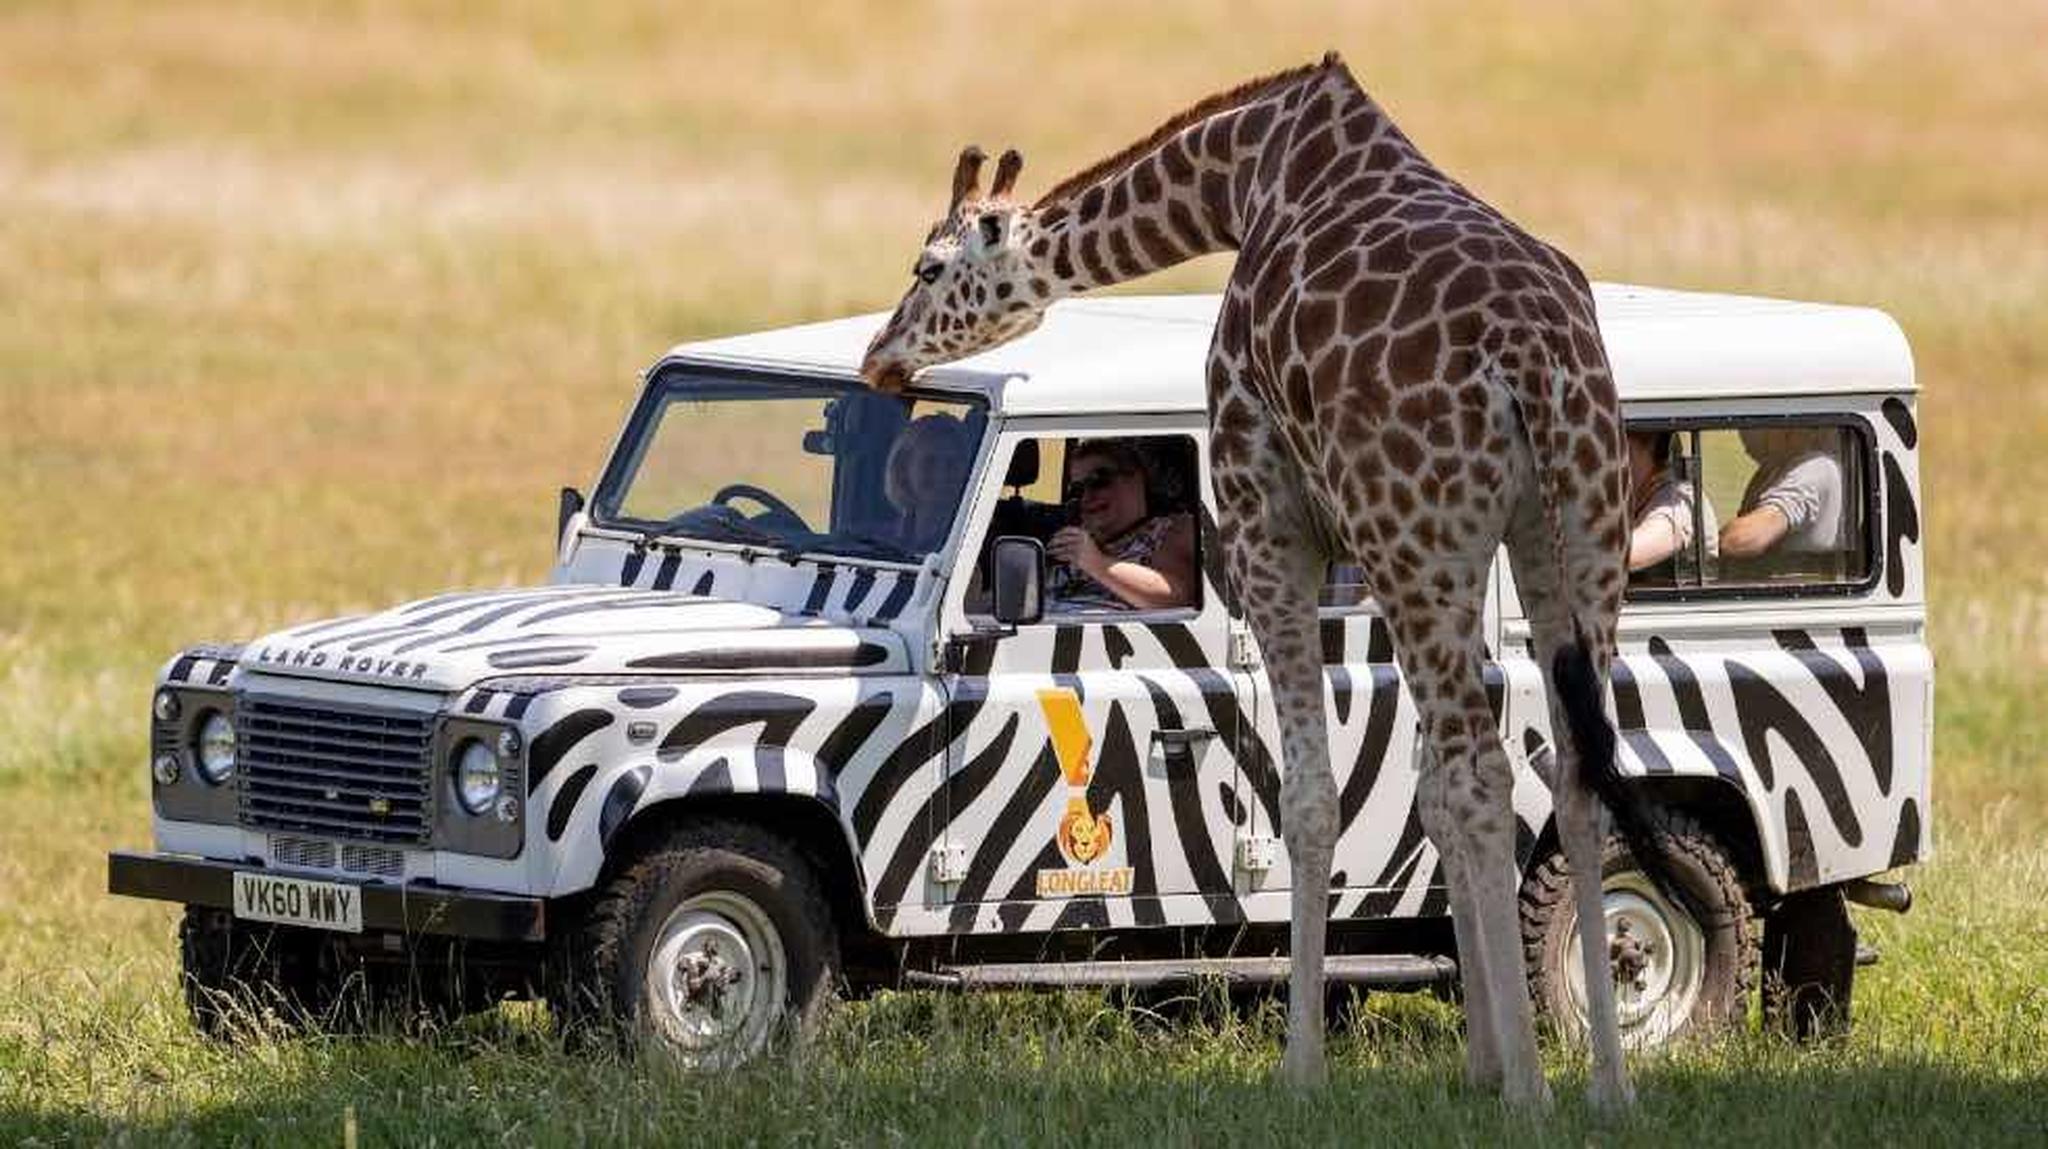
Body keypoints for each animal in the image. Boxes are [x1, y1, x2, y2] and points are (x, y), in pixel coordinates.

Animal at [860, 54, 1670, 1108]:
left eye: (928, 267)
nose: (880, 358)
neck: (1244, 175)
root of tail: (1529, 365)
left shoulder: (1264, 512)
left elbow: (1314, 795)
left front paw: (1304, 1069)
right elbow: (1423, 793)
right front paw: (1479, 1060)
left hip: (1424, 539)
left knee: (1486, 769)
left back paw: (1534, 1095)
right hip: (1574, 533)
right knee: (1572, 766)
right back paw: (1608, 1087)